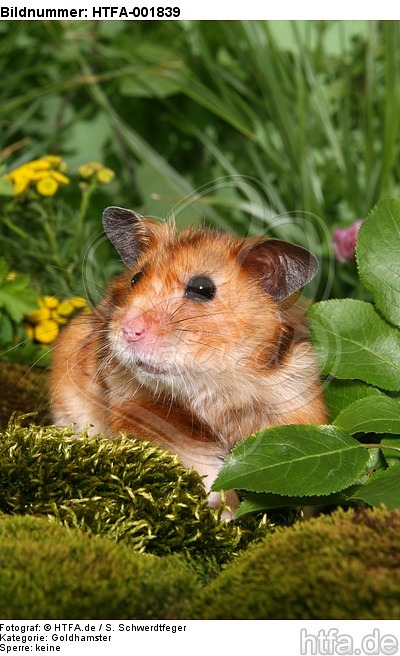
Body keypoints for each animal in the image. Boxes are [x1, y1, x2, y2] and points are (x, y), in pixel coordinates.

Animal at [50, 206, 327, 516]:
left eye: (202, 288)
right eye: (135, 279)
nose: (128, 330)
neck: (213, 384)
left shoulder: (292, 403)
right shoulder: (144, 414)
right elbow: (207, 473)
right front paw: (226, 514)